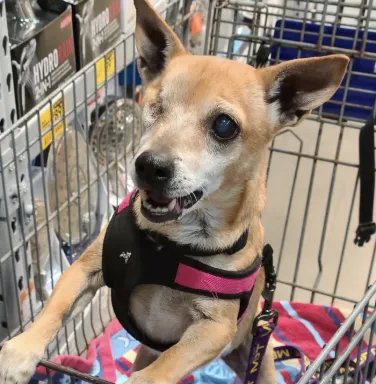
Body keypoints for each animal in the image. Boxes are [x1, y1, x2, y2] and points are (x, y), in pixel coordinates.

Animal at [0, 0, 348, 384]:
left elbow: (163, 367)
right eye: (154, 105)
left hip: (261, 359)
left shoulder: (214, 329)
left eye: (224, 126)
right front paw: (19, 352)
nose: (148, 166)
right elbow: (55, 308)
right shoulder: (84, 269)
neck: (171, 243)